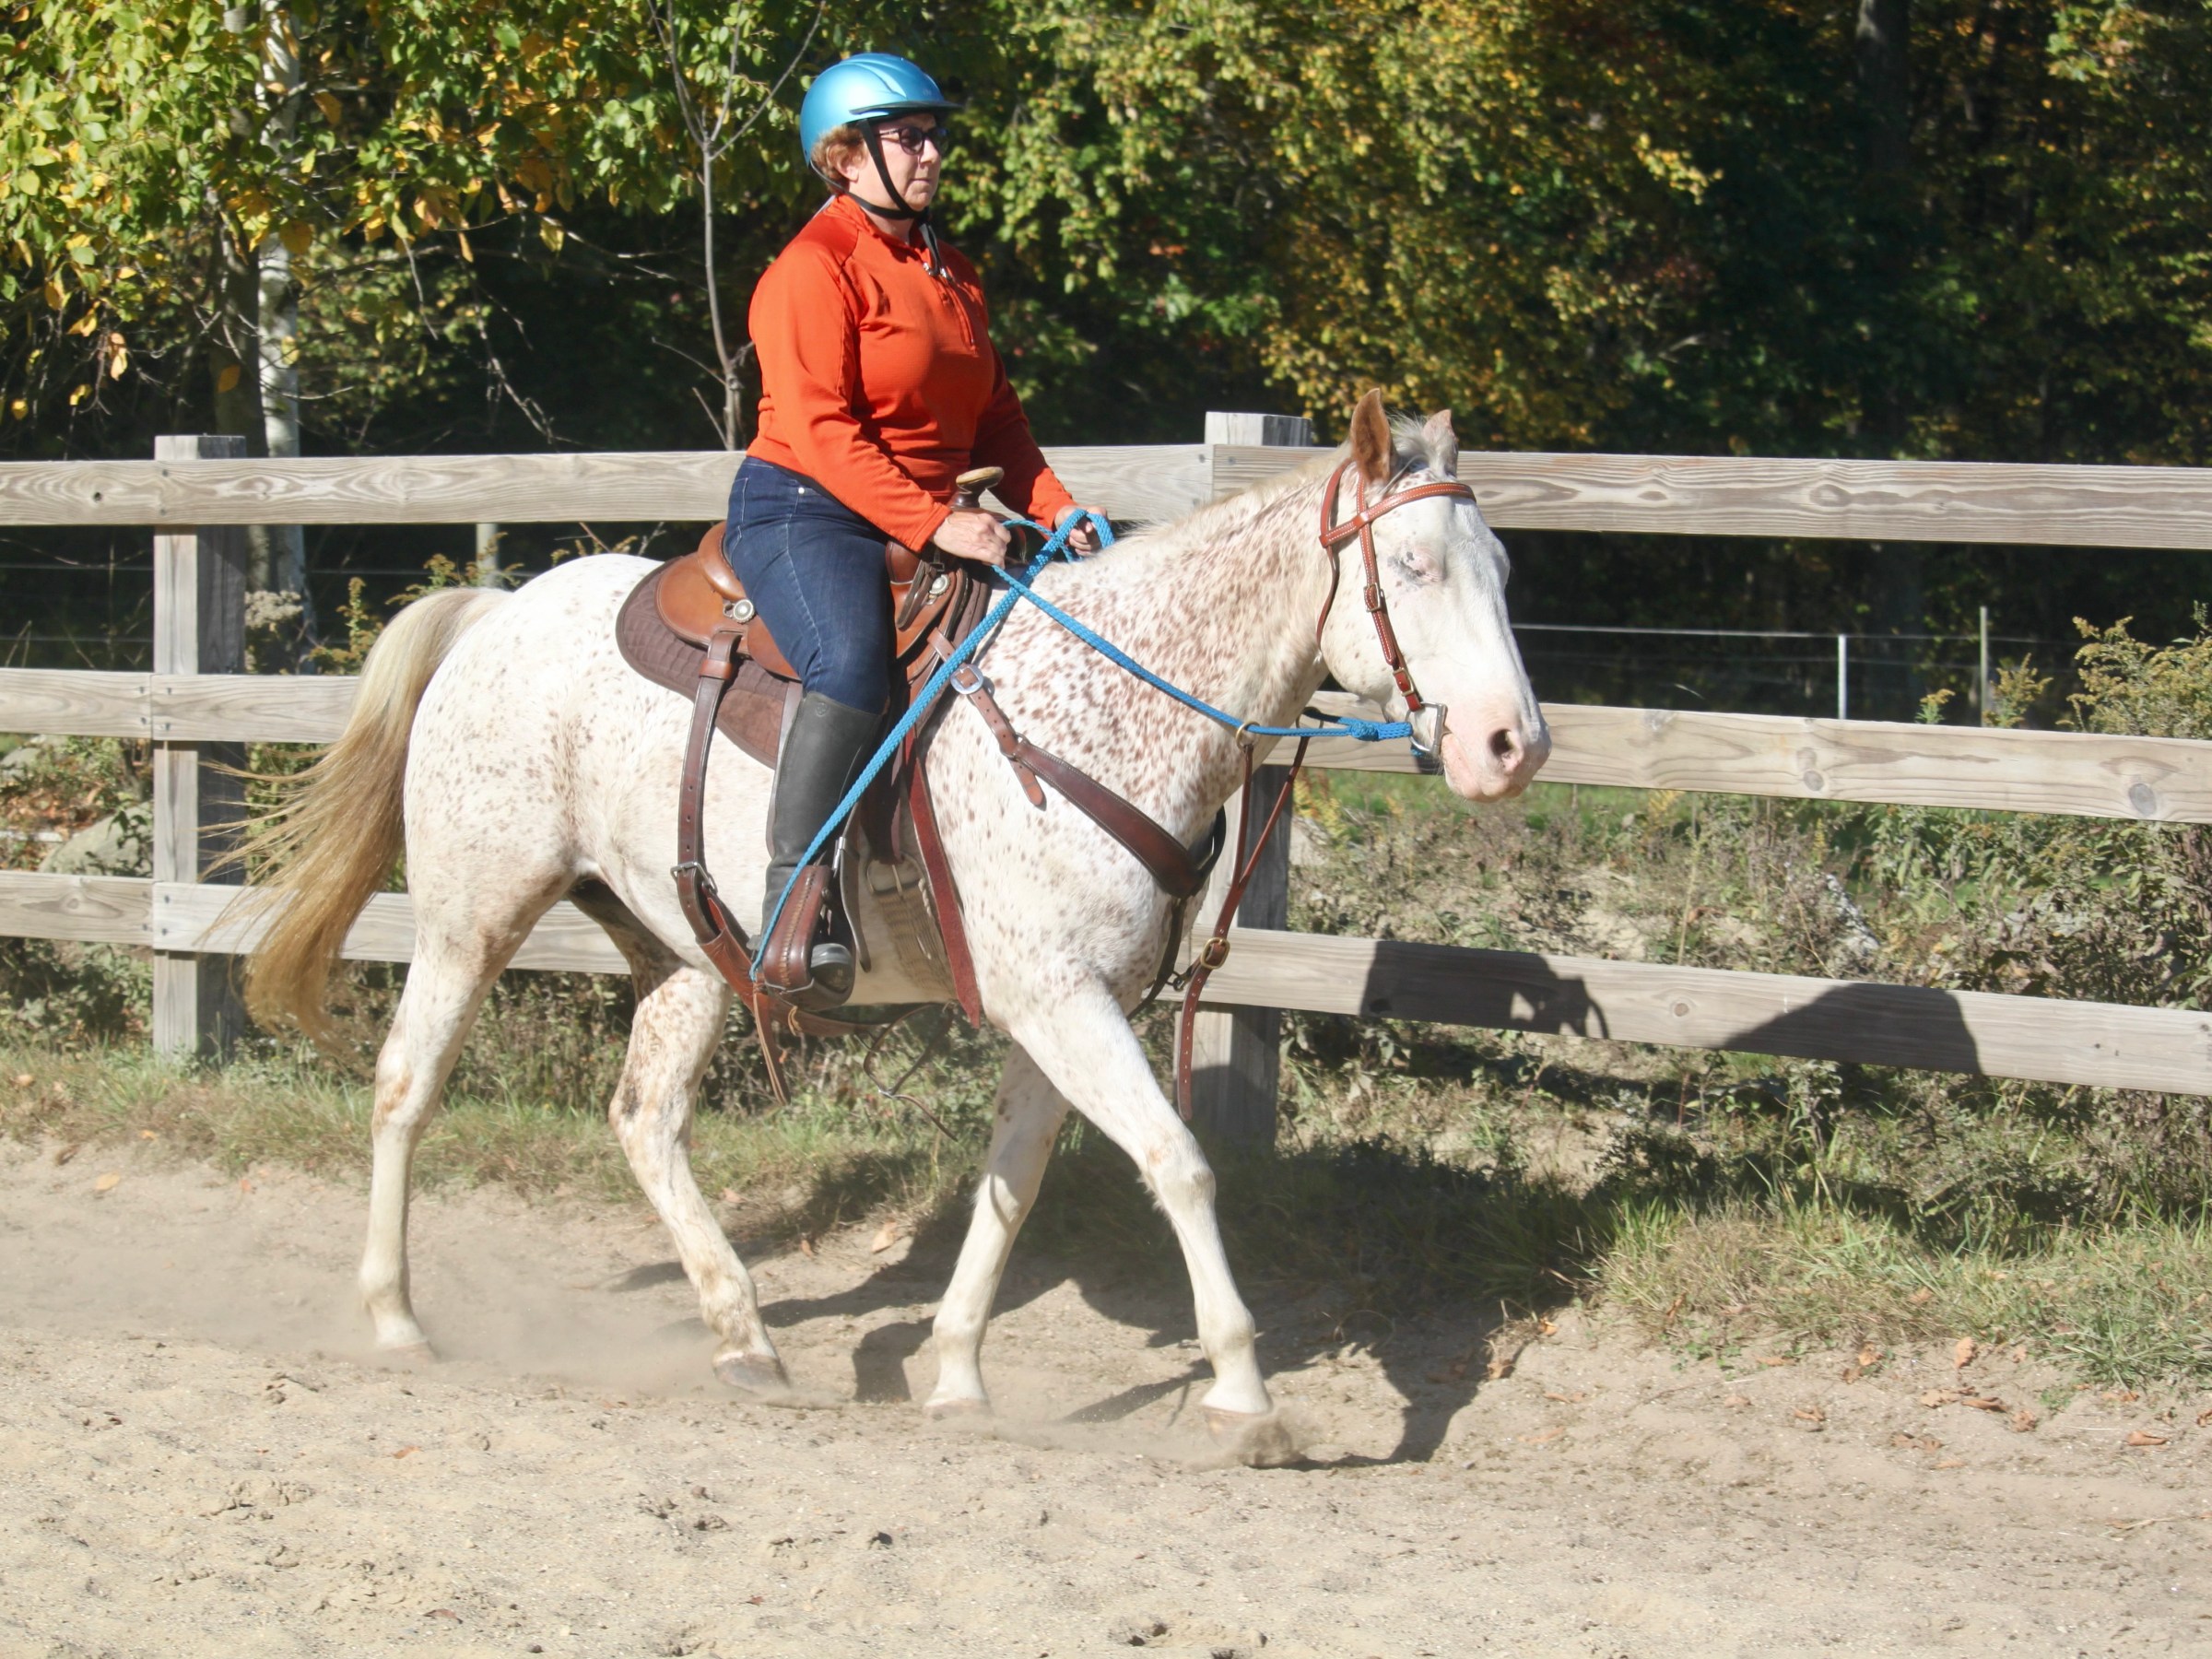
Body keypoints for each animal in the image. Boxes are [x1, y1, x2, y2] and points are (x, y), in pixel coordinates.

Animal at [236, 392, 1549, 1460]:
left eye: (1500, 567)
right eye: (1414, 566)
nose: (1512, 745)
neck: (1108, 705)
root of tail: (496, 614)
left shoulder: (1057, 1010)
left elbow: (1009, 1187)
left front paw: (957, 1373)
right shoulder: (1065, 1003)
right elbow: (1177, 1164)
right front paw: (1244, 1396)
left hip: (685, 955)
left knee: (646, 1121)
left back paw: (743, 1334)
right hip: (473, 914)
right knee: (406, 1085)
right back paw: (395, 1316)